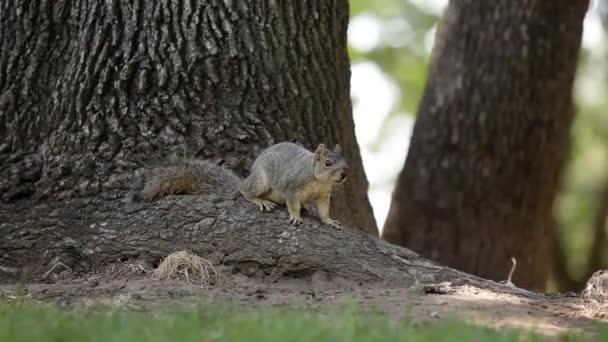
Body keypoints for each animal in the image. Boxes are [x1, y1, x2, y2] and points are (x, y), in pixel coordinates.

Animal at [135, 142, 350, 230]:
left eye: (345, 162)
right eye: (328, 163)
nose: (344, 174)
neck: (319, 180)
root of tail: (248, 177)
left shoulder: (323, 195)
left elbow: (323, 210)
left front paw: (329, 221)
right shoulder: (291, 187)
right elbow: (291, 203)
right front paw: (295, 216)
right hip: (260, 181)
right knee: (245, 192)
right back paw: (260, 200)